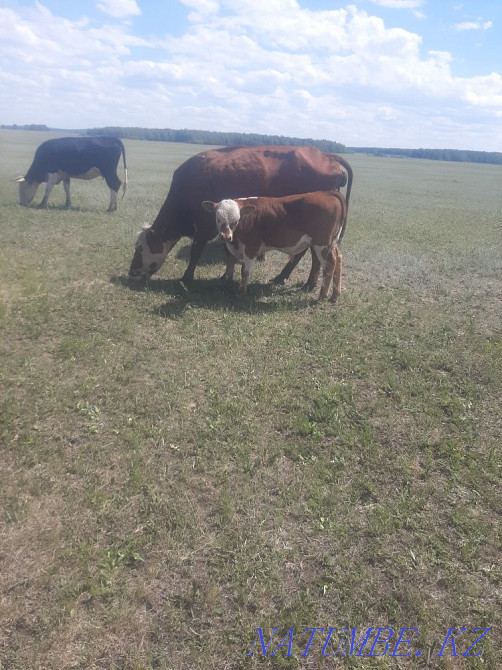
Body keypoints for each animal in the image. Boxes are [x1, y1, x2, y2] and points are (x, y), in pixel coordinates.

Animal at [128, 145, 352, 286]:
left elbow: (196, 251)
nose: (132, 273)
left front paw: (186, 278)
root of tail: (327, 156)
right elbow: (228, 253)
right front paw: (226, 277)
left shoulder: (204, 227)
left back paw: (302, 282)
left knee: (311, 255)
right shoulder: (222, 227)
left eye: (139, 248)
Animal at [202, 190, 347, 302]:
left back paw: (322, 296)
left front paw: (241, 293)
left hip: (322, 245)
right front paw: (230, 285)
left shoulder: (251, 248)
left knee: (330, 264)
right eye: (218, 219)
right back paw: (335, 295)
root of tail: (328, 193)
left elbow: (245, 272)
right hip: (331, 243)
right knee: (339, 258)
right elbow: (233, 267)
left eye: (236, 221)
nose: (225, 236)